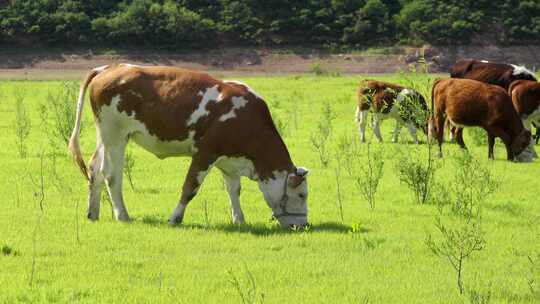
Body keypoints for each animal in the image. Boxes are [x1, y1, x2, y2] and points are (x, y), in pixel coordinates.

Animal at [69, 63, 310, 228]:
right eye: (302, 195)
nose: (303, 225)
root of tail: (109, 67)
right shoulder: (205, 154)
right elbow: (190, 188)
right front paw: (175, 218)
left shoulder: (229, 160)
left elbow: (234, 190)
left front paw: (239, 220)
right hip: (115, 136)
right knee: (111, 175)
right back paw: (122, 215)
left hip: (106, 137)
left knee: (94, 169)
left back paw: (93, 213)